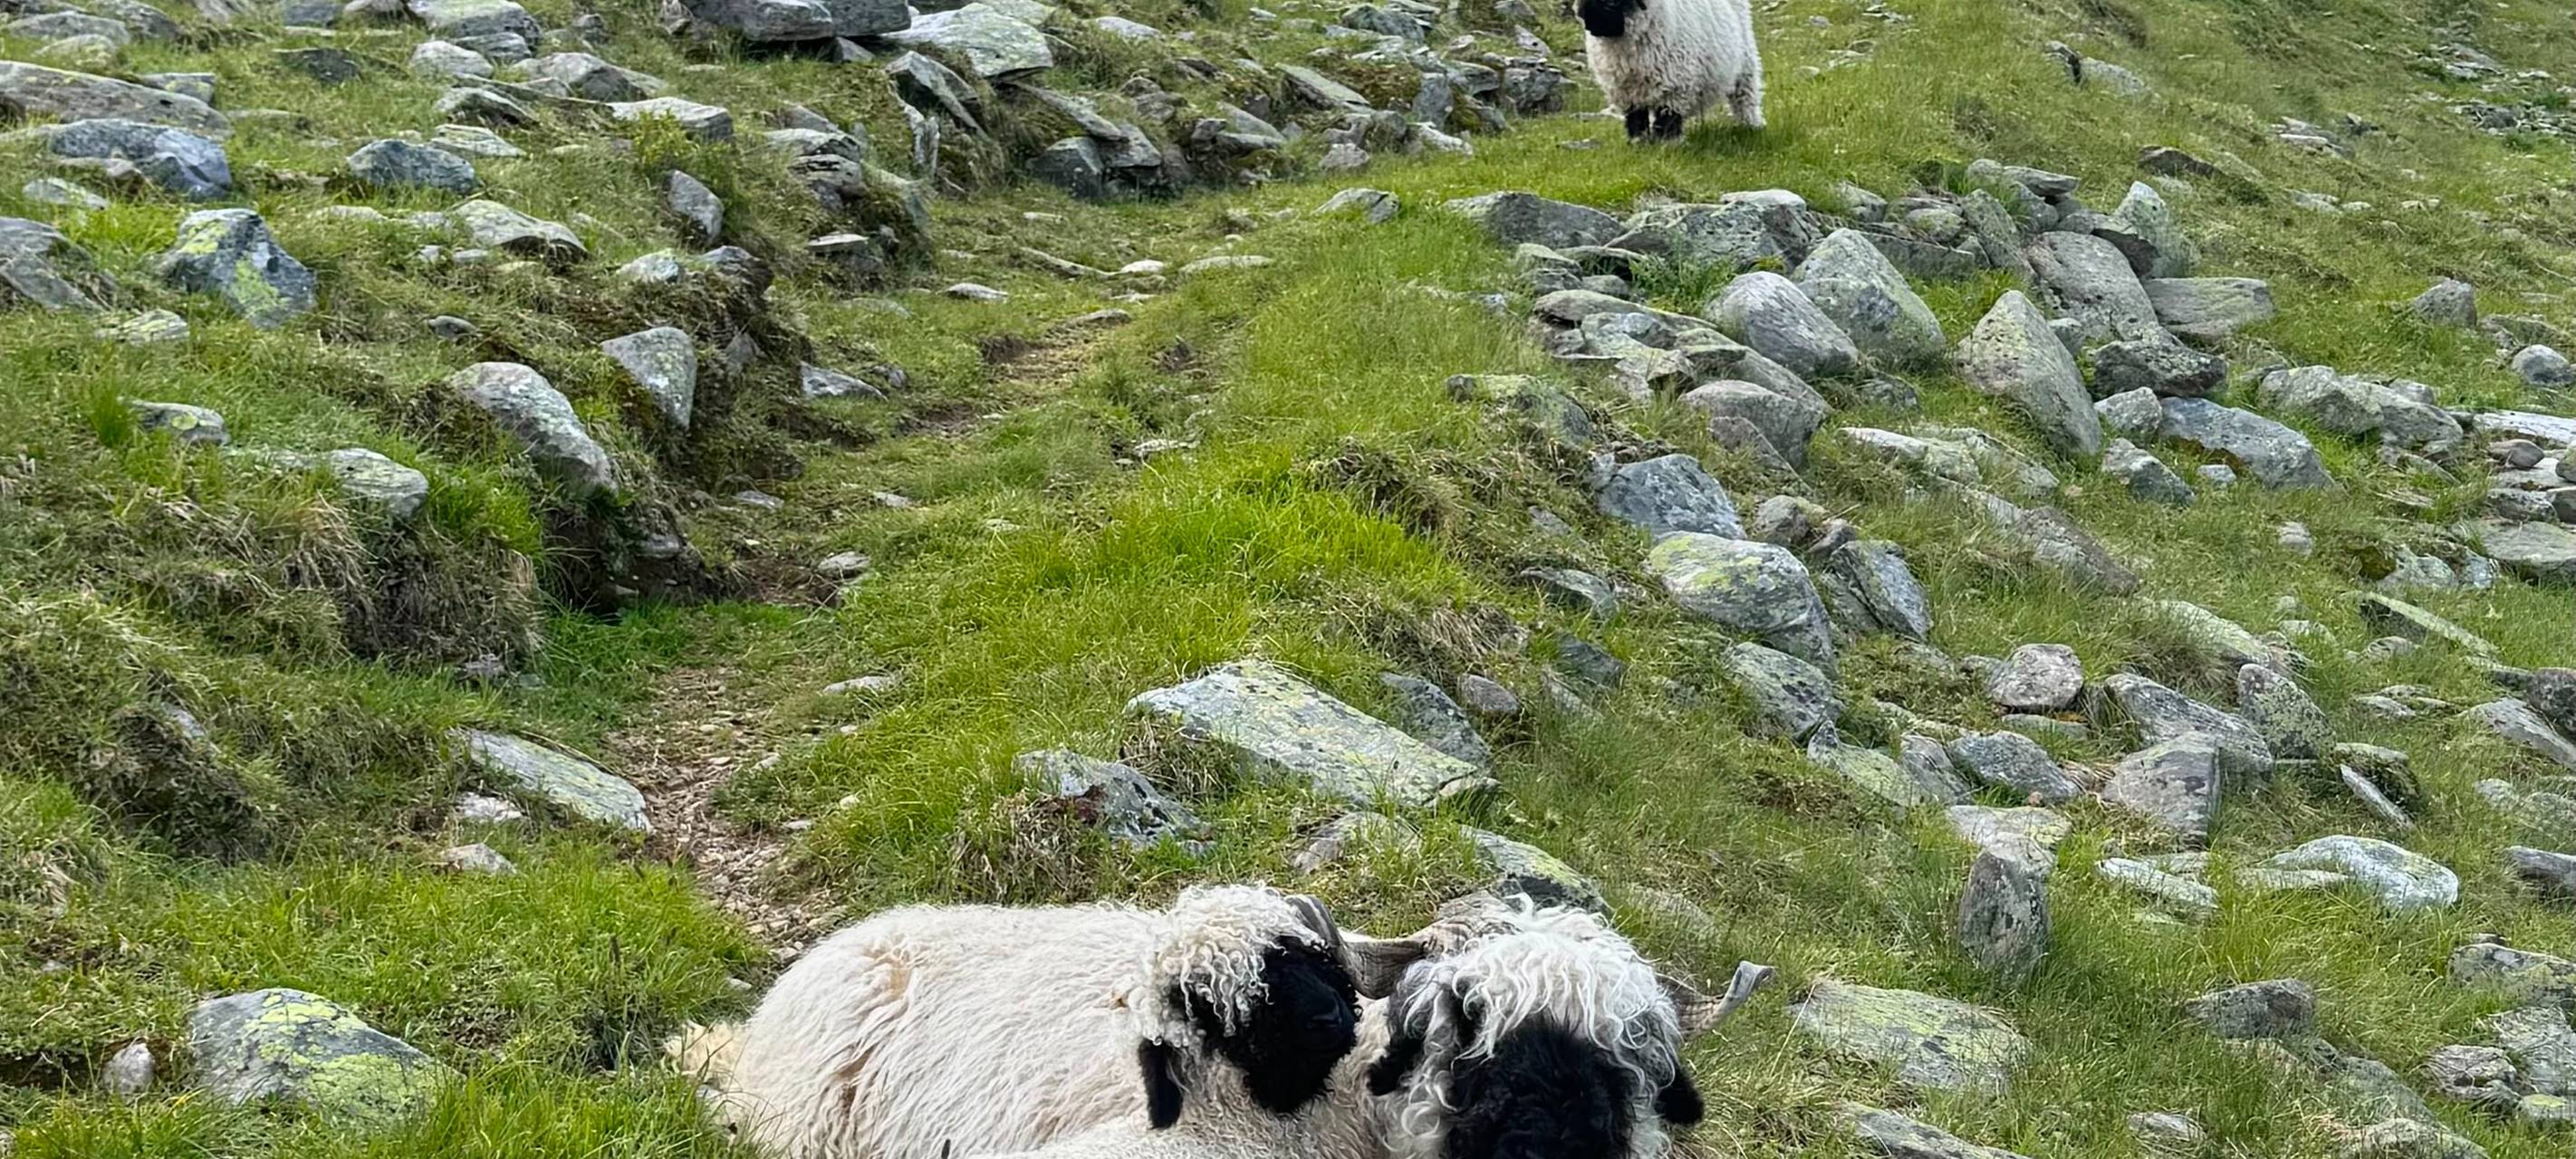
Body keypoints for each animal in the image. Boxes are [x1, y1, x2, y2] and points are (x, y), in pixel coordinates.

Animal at [1576, 0, 1766, 141]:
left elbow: (1667, 117)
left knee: (1746, 97)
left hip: (1745, 62)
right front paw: (1639, 142)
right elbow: (1636, 118)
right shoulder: (1626, 91)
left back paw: (1751, 125)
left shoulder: (1675, 84)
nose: (1589, 22)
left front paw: (1666, 145)